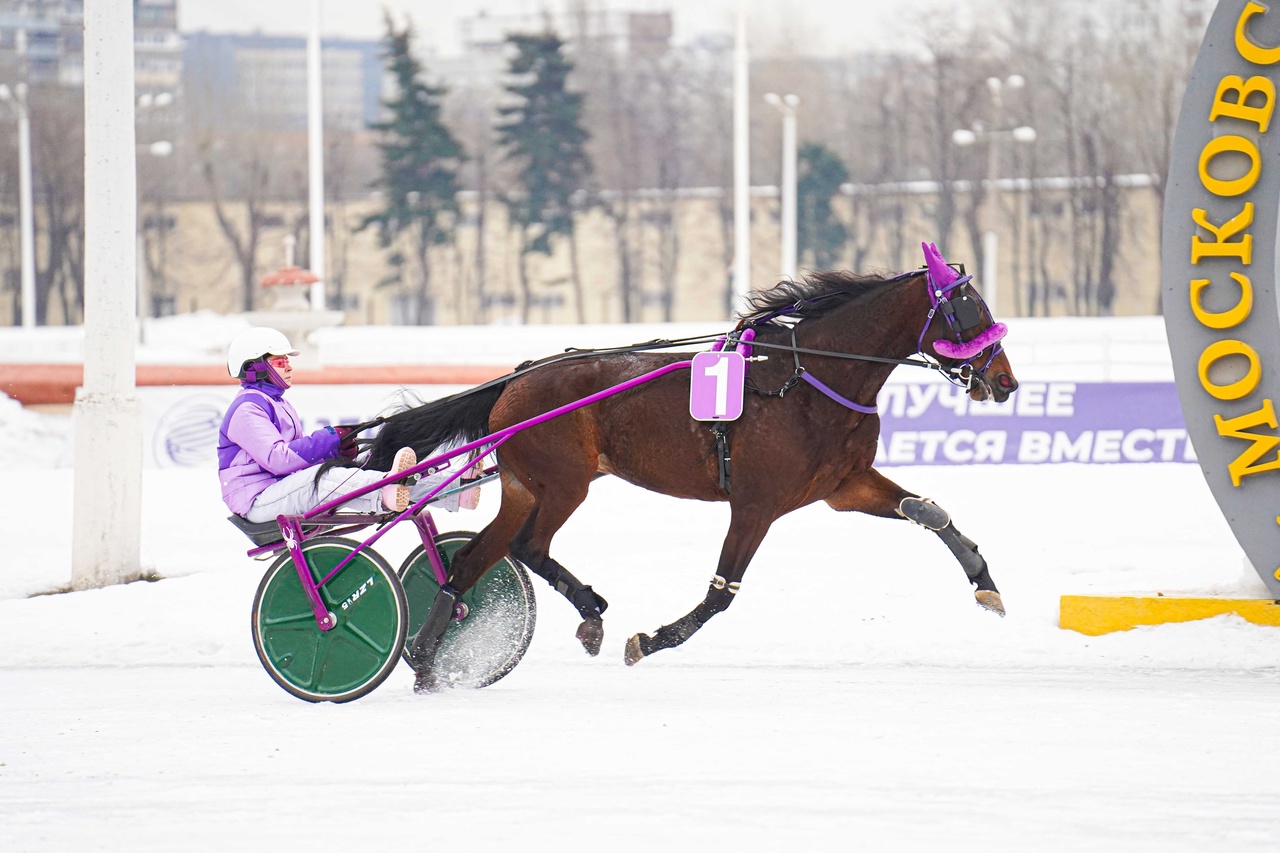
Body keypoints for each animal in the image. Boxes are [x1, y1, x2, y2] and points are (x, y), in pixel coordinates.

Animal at [363, 242, 1018, 686]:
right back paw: (584, 615)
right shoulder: (757, 504)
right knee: (527, 546)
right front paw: (651, 640)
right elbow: (723, 592)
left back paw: (431, 659)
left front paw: (985, 582)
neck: (810, 377)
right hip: (564, 483)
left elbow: (929, 512)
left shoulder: (843, 485)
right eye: (969, 311)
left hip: (527, 486)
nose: (1006, 382)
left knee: (475, 558)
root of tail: (517, 379)